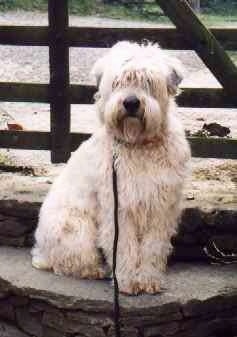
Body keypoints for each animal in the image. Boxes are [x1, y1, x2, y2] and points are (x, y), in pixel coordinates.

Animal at [32, 41, 191, 294]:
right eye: (117, 82)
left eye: (147, 81)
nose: (131, 102)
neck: (139, 145)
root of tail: (41, 252)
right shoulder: (119, 207)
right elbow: (124, 246)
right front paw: (126, 281)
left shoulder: (160, 207)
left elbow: (153, 246)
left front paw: (148, 279)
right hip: (76, 228)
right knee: (69, 261)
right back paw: (96, 270)